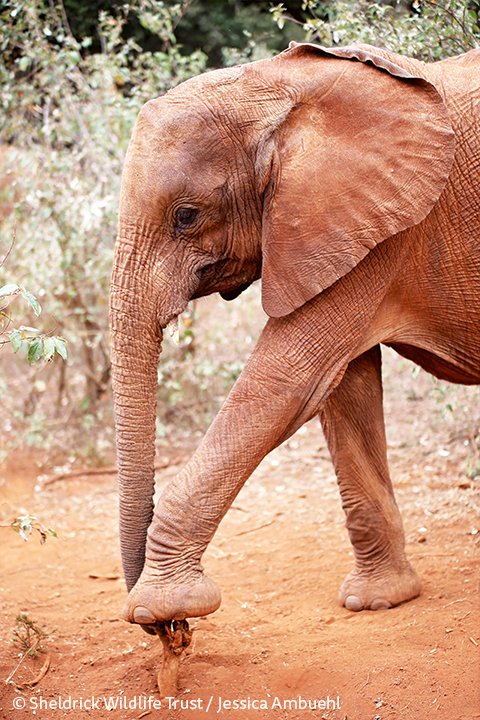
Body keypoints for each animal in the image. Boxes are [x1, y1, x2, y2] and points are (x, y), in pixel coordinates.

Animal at [109, 42, 480, 628]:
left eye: (186, 217)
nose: (171, 637)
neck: (276, 87)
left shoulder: (387, 230)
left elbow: (286, 380)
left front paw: (161, 607)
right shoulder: (348, 228)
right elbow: (341, 385)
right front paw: (379, 599)